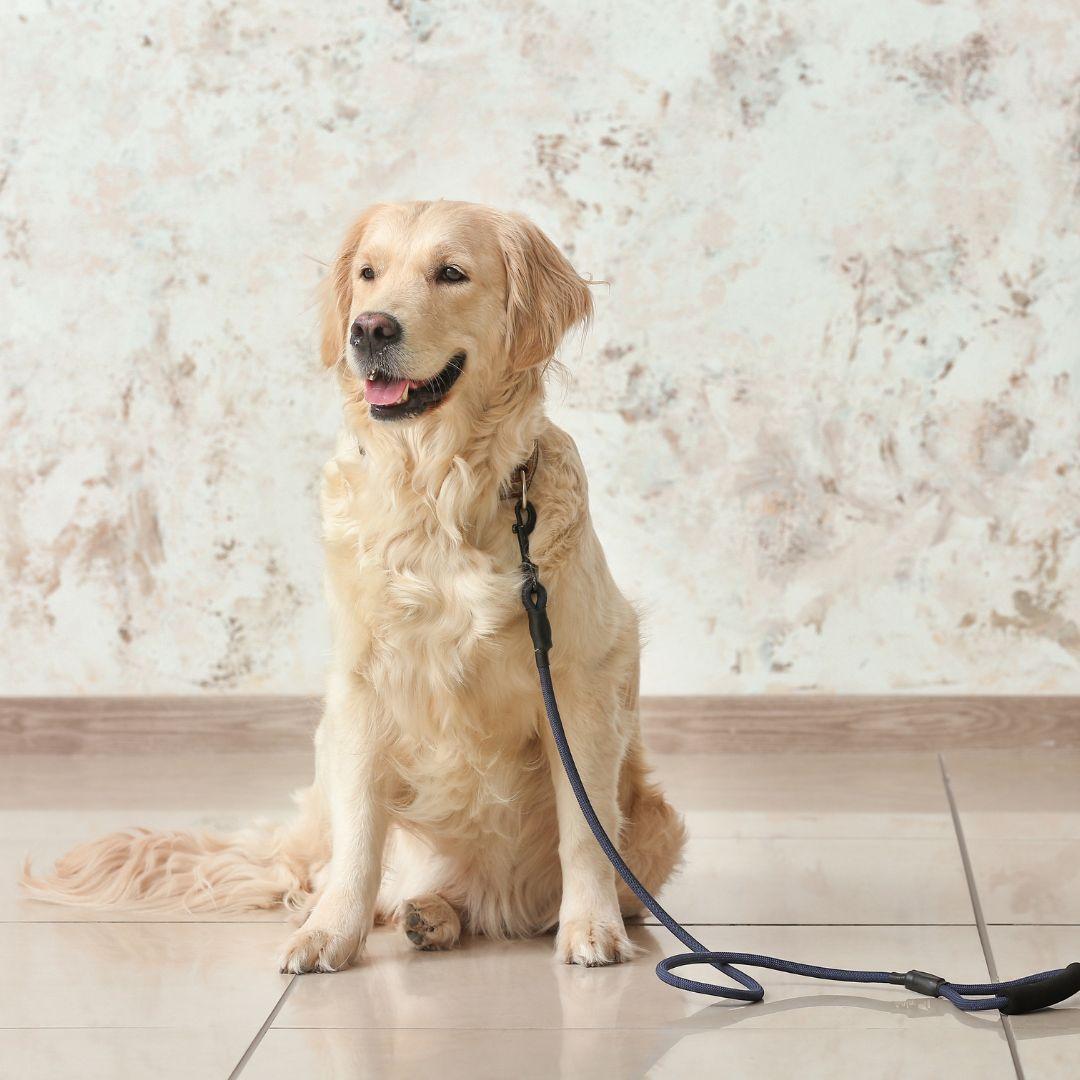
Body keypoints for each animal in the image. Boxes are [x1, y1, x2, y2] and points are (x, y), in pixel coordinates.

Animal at [23, 200, 682, 972]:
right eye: (369, 273)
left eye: (450, 273)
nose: (368, 327)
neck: (439, 491)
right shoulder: (363, 687)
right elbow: (362, 835)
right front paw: (331, 934)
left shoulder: (581, 675)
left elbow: (584, 824)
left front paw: (591, 927)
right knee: (372, 874)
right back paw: (419, 913)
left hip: (657, 824)